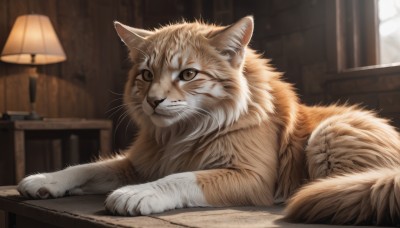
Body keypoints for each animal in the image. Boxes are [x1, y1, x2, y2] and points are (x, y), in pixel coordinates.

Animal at [17, 15, 400, 224]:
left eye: (188, 74)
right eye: (145, 74)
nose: (154, 101)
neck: (180, 133)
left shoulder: (250, 175)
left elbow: (183, 177)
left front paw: (138, 194)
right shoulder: (138, 162)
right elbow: (86, 167)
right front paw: (45, 180)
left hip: (329, 132)